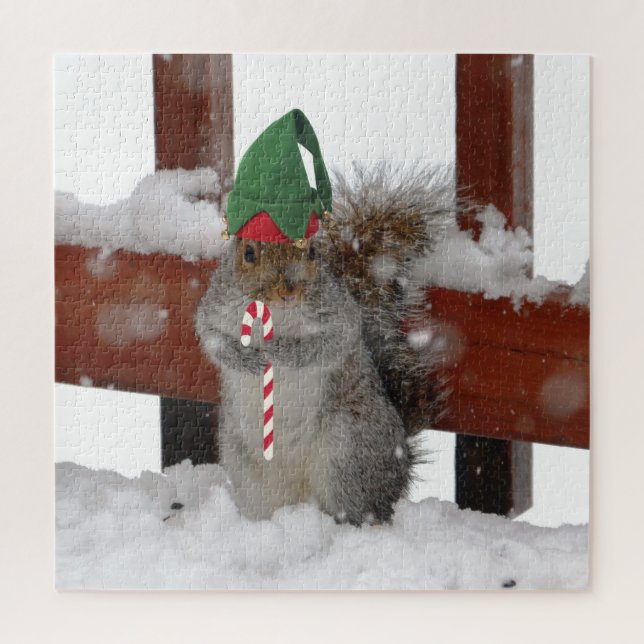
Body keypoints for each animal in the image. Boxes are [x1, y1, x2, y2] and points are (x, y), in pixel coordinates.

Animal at [195, 110, 452, 525]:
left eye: (313, 252)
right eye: (248, 254)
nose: (288, 290)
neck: (276, 314)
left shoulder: (338, 313)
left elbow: (332, 342)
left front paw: (281, 352)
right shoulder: (217, 306)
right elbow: (210, 337)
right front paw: (246, 359)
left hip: (347, 448)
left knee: (359, 508)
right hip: (241, 459)